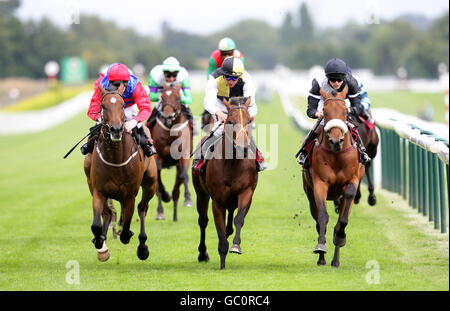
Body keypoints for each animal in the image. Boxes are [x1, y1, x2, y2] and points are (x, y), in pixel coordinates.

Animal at [84, 83, 158, 264]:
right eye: (103, 106)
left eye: (122, 105)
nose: (116, 130)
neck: (116, 159)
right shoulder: (99, 191)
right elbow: (96, 225)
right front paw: (100, 244)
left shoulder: (129, 195)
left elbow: (125, 231)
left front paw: (130, 235)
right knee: (107, 213)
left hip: (150, 183)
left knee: (142, 208)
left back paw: (142, 246)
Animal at [192, 97, 258, 270]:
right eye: (230, 121)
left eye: (249, 120)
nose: (242, 147)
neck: (232, 163)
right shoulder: (217, 200)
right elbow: (219, 230)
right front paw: (222, 261)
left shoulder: (246, 192)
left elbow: (239, 218)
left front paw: (235, 246)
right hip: (201, 194)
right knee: (203, 221)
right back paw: (202, 253)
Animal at [300, 86, 364, 270]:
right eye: (325, 112)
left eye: (345, 112)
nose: (336, 140)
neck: (336, 154)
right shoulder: (320, 184)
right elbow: (323, 217)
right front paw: (321, 247)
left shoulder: (352, 181)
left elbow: (342, 220)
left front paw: (340, 237)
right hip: (309, 194)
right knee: (317, 220)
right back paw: (322, 259)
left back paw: (335, 260)